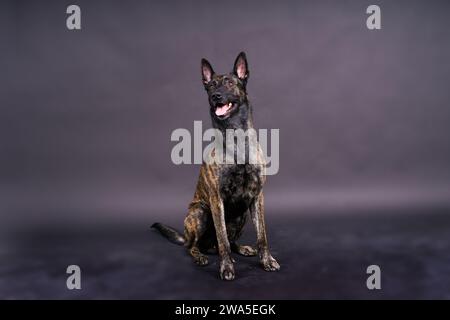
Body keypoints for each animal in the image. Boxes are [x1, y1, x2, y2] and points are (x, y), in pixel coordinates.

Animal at [153, 52, 280, 280]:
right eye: (211, 85)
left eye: (229, 83)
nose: (216, 96)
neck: (236, 138)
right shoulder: (216, 199)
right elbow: (222, 240)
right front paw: (226, 267)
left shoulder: (257, 196)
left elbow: (262, 236)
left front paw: (267, 261)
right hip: (200, 212)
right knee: (195, 246)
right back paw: (200, 256)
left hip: (241, 215)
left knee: (229, 241)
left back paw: (242, 248)